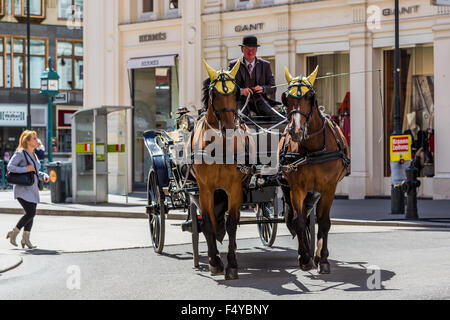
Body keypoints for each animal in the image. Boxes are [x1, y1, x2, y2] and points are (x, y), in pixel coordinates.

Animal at [189, 60, 253, 280]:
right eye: (214, 95)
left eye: (236, 94)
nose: (230, 127)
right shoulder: (205, 189)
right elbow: (208, 223)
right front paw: (214, 262)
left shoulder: (234, 188)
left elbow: (232, 223)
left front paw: (232, 264)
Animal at [280, 66, 350, 274]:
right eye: (286, 98)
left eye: (310, 97)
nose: (295, 131)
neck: (312, 149)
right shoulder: (297, 188)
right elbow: (299, 221)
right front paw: (304, 258)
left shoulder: (328, 188)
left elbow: (324, 222)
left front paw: (323, 259)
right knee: (301, 217)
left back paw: (317, 255)